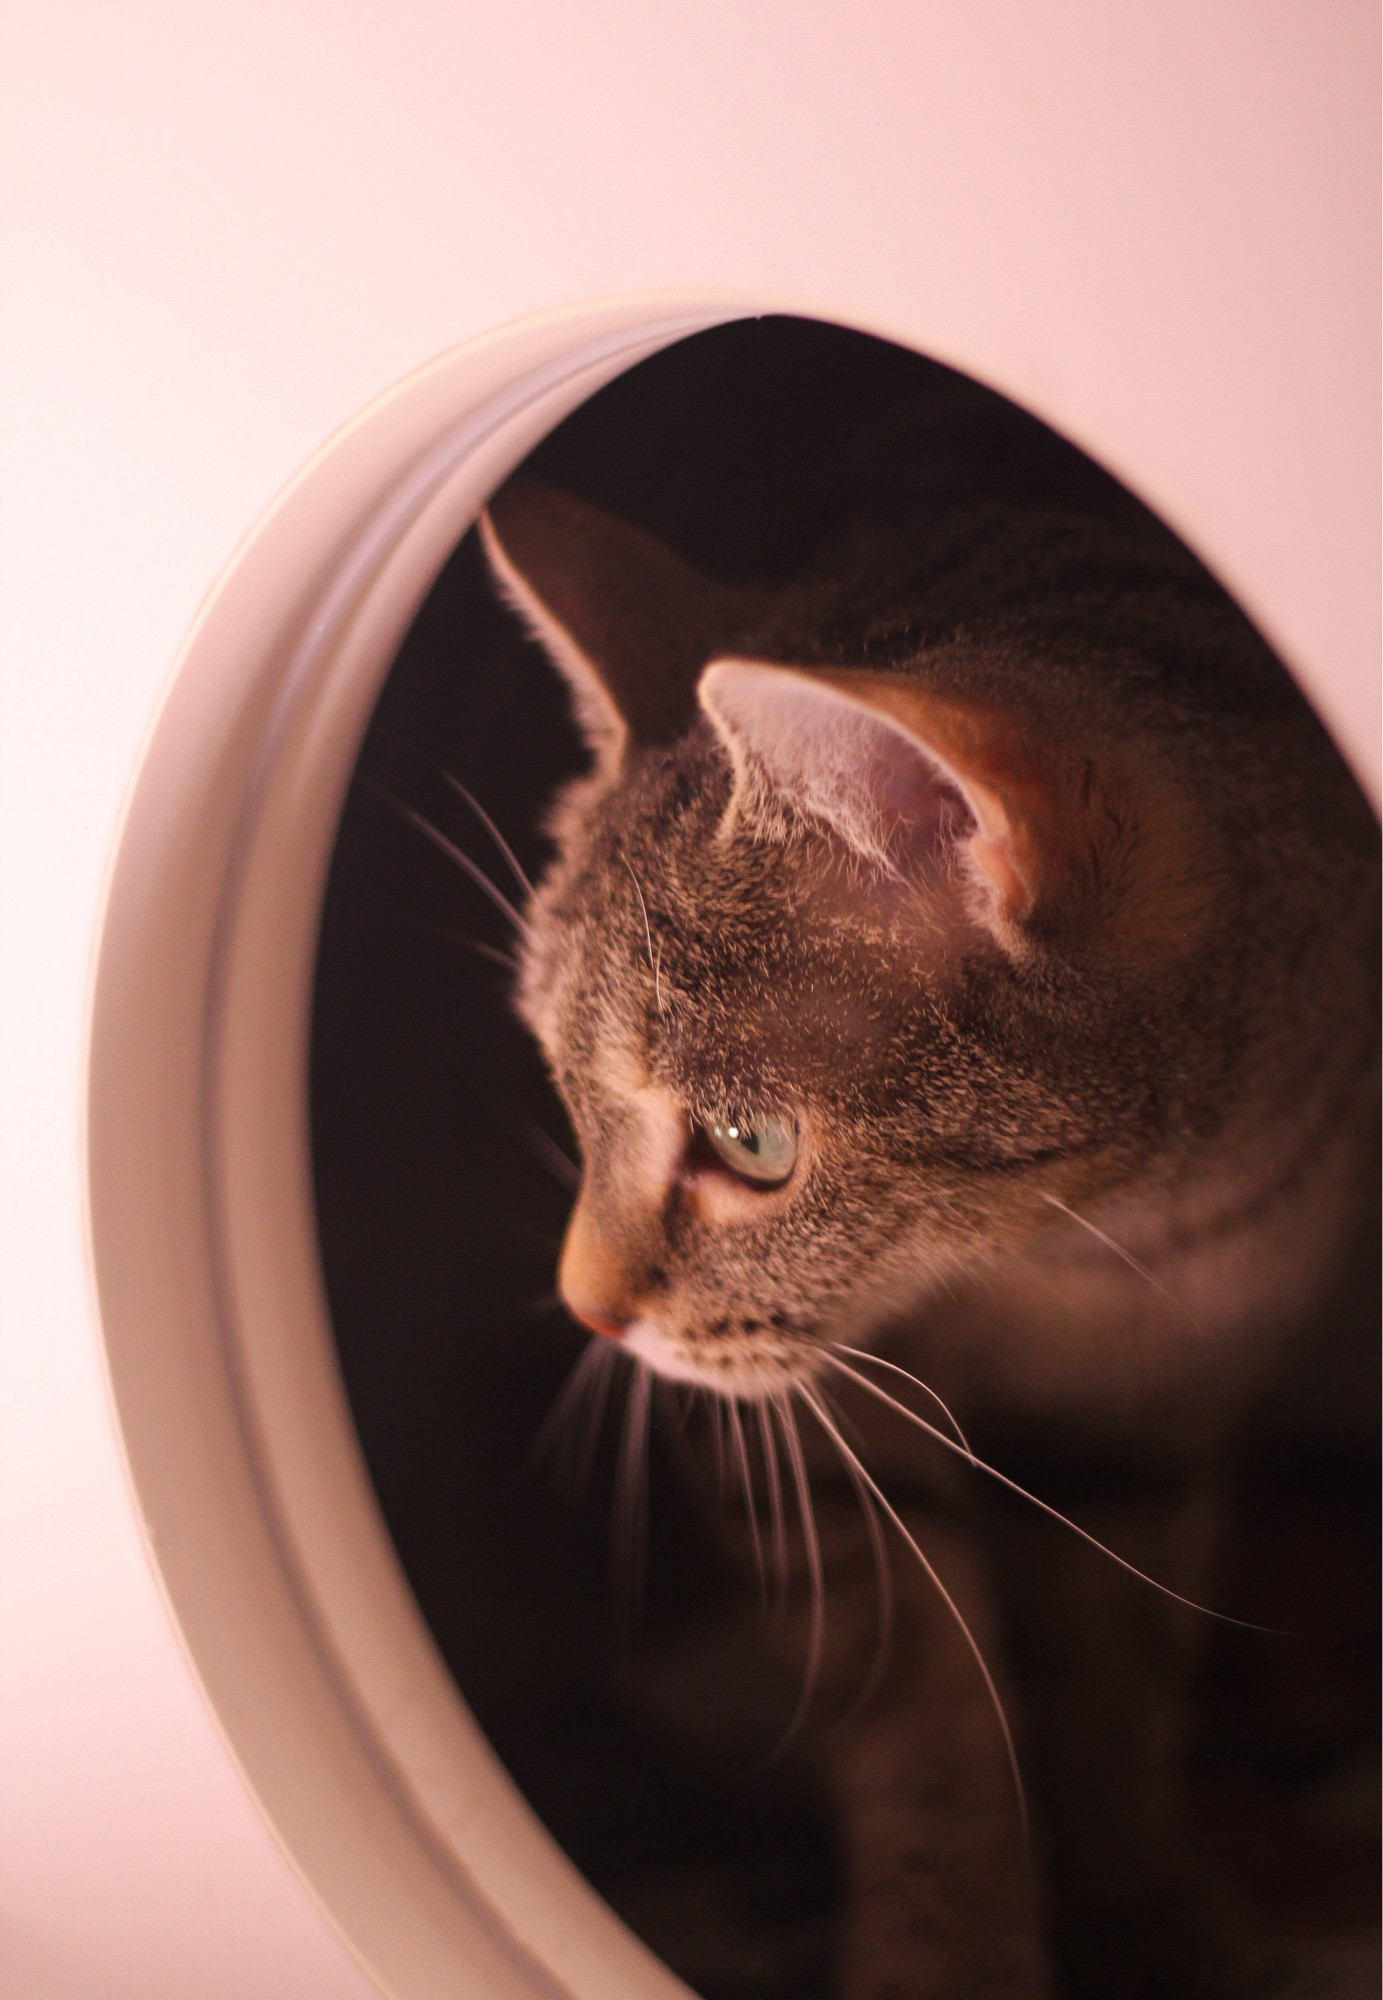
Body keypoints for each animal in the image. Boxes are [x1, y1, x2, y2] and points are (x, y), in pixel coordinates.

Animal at [473, 406, 1375, 2000]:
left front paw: (1140, 1910)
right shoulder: (821, 1444)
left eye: (750, 1142)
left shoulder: (1155, 1411)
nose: (586, 1309)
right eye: (560, 1081)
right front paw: (948, 1947)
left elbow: (1107, 1677)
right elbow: (923, 1711)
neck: (1096, 1254)